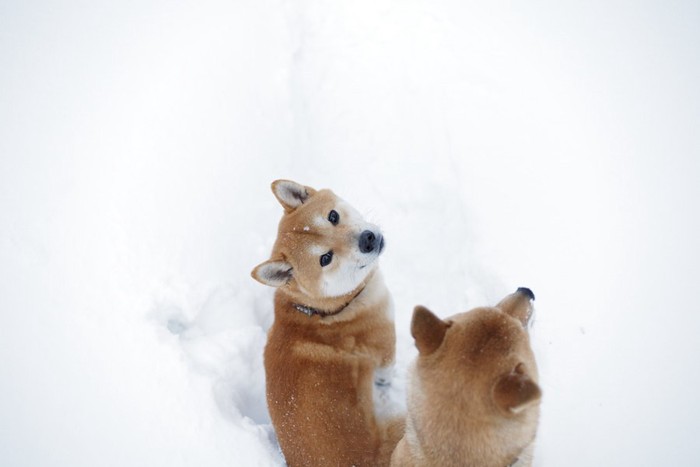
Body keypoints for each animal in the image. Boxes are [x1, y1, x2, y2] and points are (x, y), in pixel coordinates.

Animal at [254, 181, 402, 467]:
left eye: (333, 216)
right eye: (325, 259)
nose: (367, 239)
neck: (326, 311)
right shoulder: (384, 353)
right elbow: (386, 376)